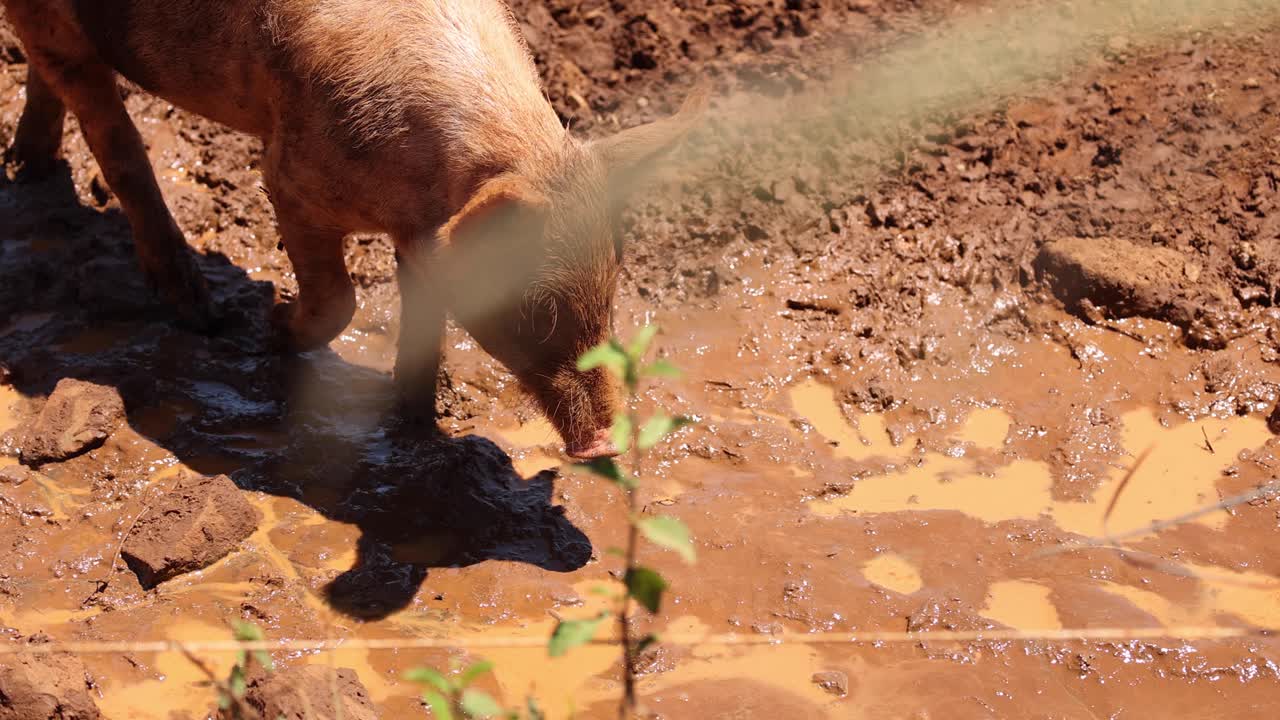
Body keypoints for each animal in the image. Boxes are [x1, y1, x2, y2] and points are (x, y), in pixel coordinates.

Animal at [3, 0, 707, 459]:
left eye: (611, 294)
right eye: (530, 307)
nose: (605, 446)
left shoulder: (421, 236)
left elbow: (422, 317)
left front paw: (416, 426)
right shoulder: (289, 175)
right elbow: (337, 297)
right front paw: (271, 326)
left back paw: (28, 166)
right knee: (110, 130)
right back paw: (200, 311)